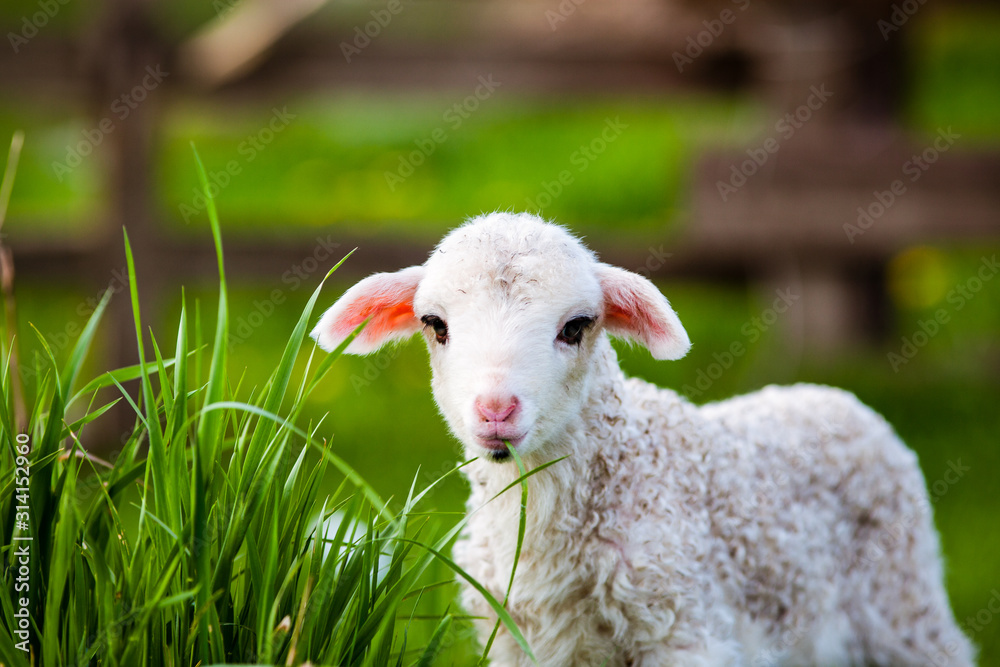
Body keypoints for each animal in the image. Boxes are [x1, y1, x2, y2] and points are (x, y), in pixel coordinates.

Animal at [310, 212, 975, 667]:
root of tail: (830, 395)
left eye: (576, 326)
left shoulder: (686, 628)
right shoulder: (518, 640)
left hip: (904, 604)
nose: (496, 409)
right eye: (435, 325)